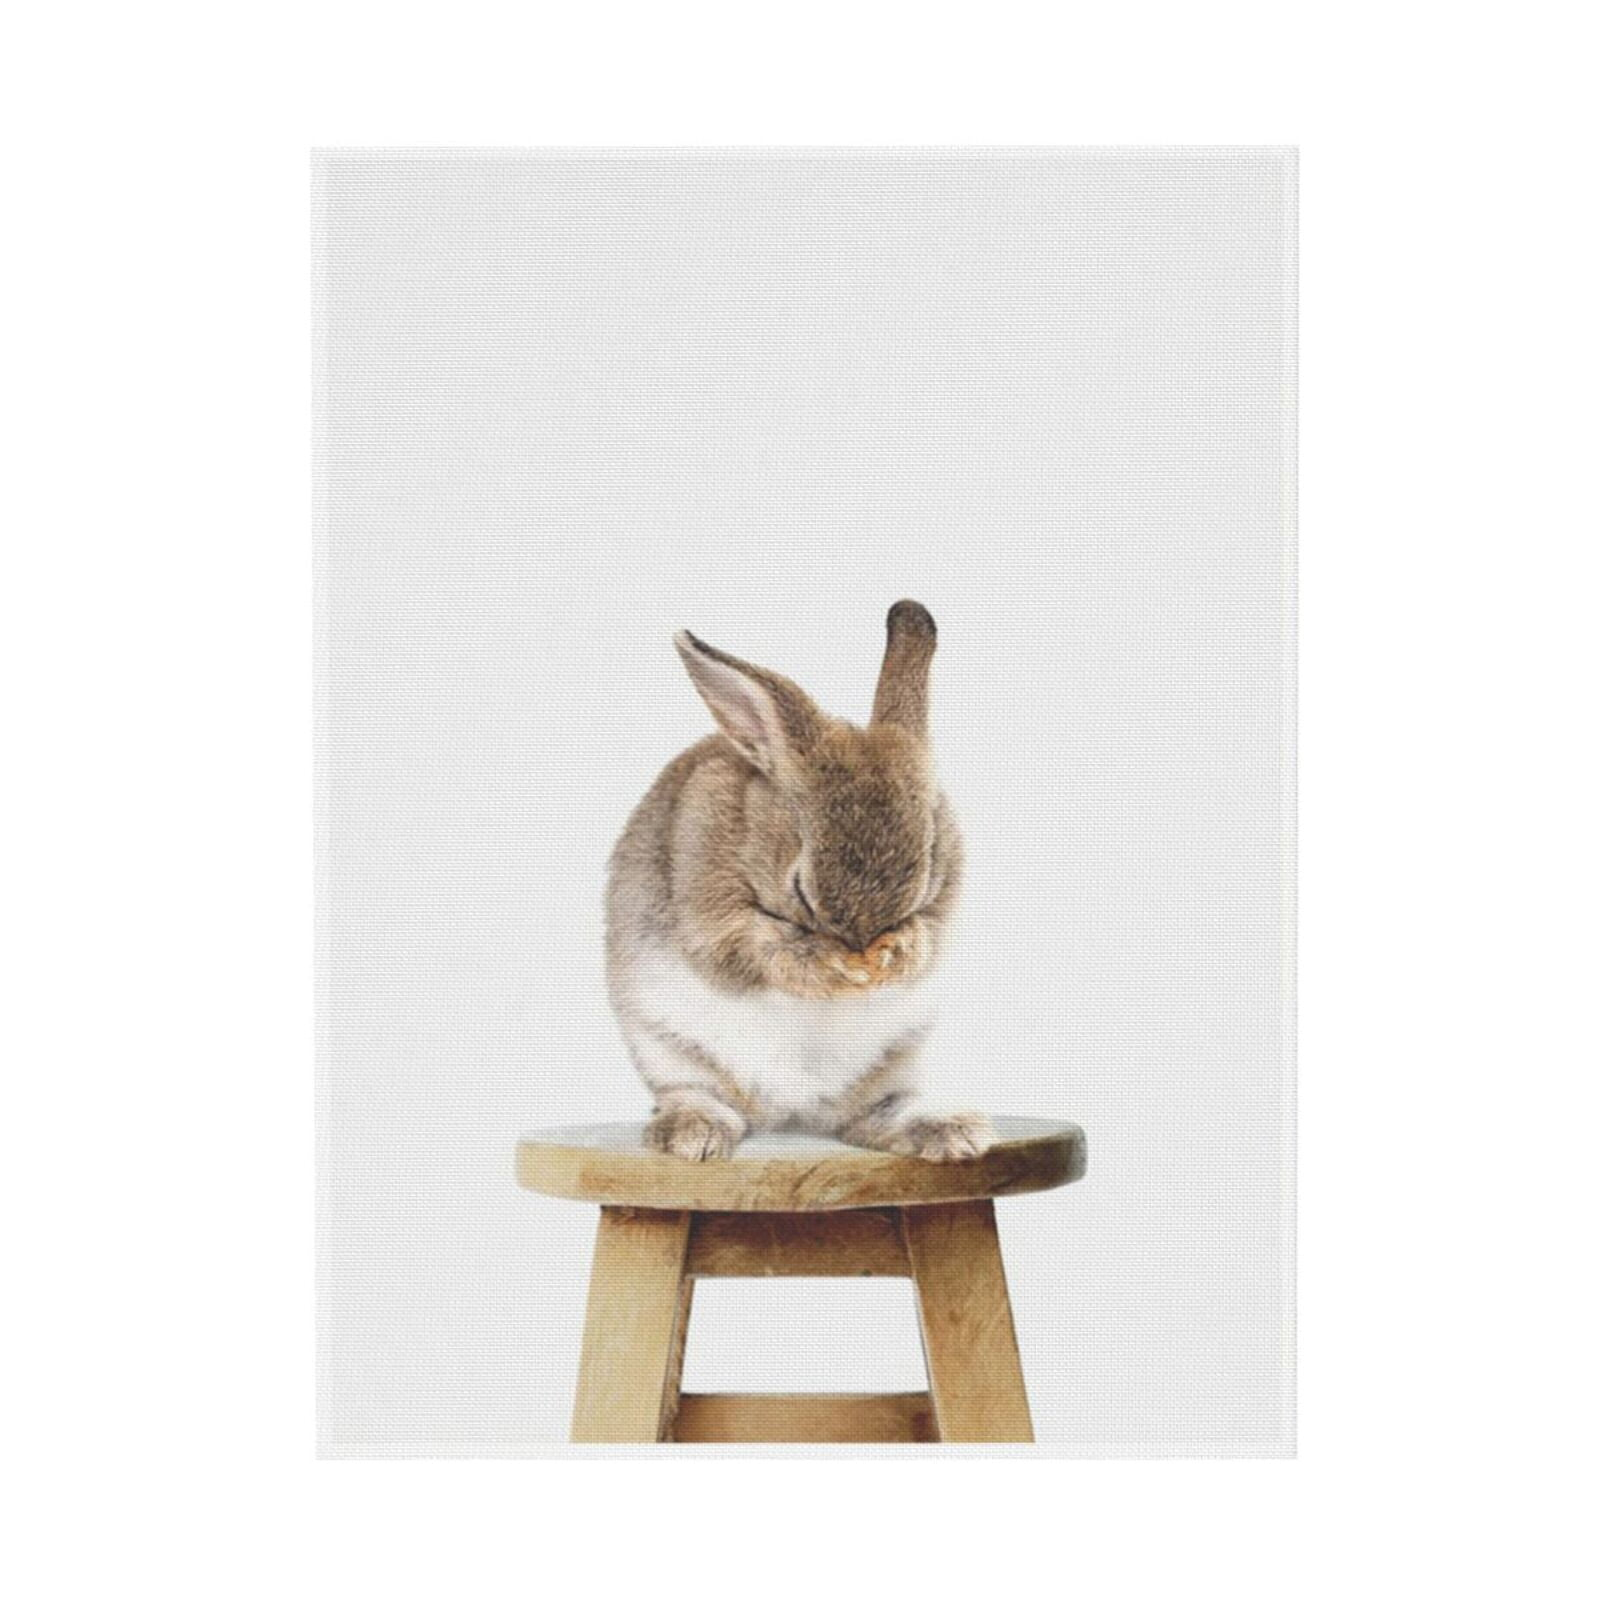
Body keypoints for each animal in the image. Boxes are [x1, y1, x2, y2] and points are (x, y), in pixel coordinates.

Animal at [605, 600, 993, 1163]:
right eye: (800, 890)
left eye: (924, 875)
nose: (862, 951)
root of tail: (791, 1112)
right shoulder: (712, 917)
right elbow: (764, 951)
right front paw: (836, 967)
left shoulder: (942, 910)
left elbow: (927, 938)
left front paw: (893, 955)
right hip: (669, 1051)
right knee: (699, 1096)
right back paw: (691, 1136)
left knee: (876, 1117)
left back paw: (953, 1133)